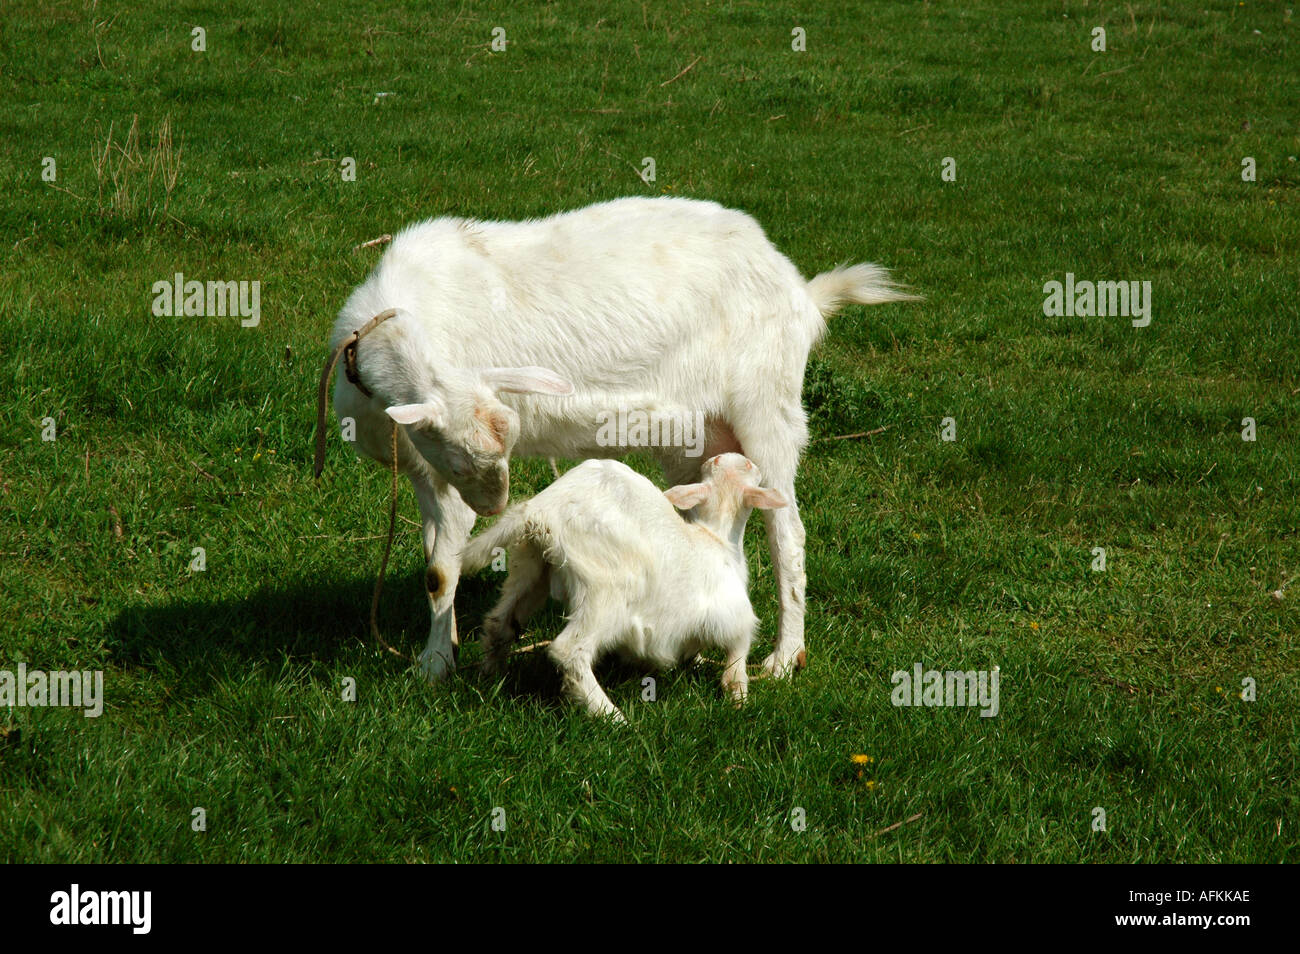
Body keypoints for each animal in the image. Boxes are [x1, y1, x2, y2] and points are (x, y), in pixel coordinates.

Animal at [325, 196, 915, 686]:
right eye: (456, 449)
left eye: (505, 439)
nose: (495, 505)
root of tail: (802, 292)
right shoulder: (426, 470)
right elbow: (435, 562)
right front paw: (439, 653)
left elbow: (441, 567)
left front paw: (433, 665)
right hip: (699, 435)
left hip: (767, 400)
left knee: (787, 531)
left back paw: (783, 658)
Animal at [460, 454, 780, 717]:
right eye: (748, 465)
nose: (753, 462)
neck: (716, 538)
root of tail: (540, 510)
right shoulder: (733, 616)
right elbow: (738, 653)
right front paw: (738, 698)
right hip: (605, 588)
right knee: (569, 650)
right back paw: (611, 717)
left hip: (530, 567)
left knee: (499, 623)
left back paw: (490, 680)